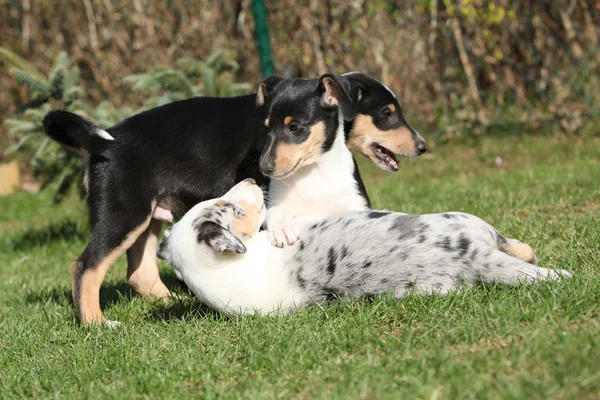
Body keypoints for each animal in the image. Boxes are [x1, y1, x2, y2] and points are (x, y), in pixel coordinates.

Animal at [158, 180, 572, 316]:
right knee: (521, 250)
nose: (249, 178)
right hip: (469, 222)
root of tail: (473, 261)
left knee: (523, 250)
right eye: (228, 206)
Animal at [258, 72, 426, 247]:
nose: (264, 168)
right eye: (267, 128)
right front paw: (282, 229)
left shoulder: (357, 203)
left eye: (294, 127)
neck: (314, 171)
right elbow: (275, 210)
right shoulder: (275, 200)